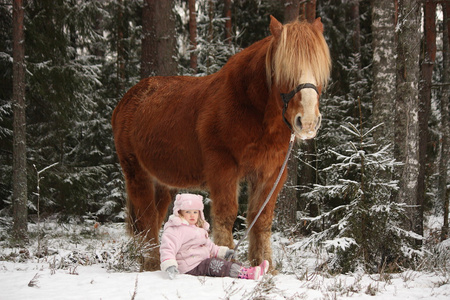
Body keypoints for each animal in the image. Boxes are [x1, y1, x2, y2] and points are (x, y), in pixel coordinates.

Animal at [112, 15, 330, 270]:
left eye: (319, 70)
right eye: (283, 69)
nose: (307, 122)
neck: (250, 110)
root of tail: (126, 100)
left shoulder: (271, 173)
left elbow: (261, 219)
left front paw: (265, 266)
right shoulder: (223, 169)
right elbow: (226, 216)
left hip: (161, 182)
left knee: (154, 218)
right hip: (137, 174)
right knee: (146, 219)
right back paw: (153, 263)